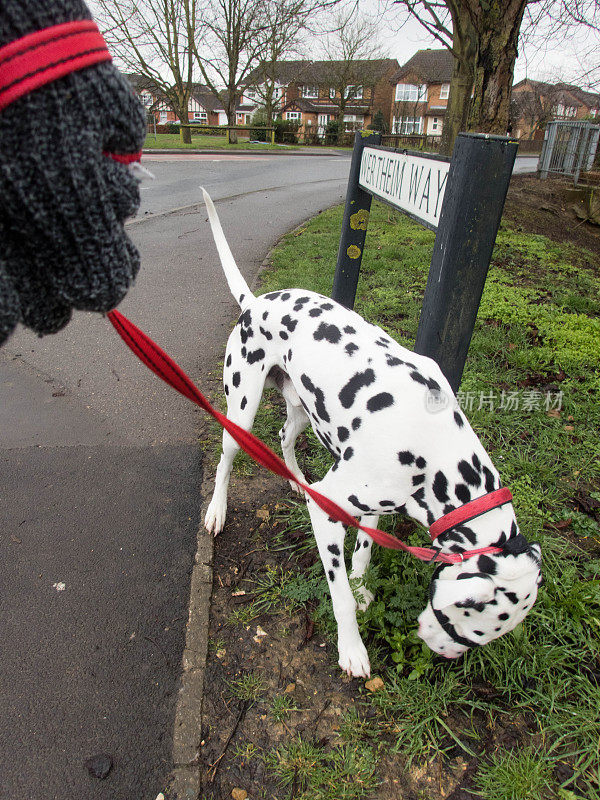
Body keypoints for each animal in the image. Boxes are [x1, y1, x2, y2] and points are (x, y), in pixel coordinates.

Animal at [203, 191, 544, 680]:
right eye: (471, 628)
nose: (446, 657)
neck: (436, 450)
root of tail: (255, 302)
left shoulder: (376, 500)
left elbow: (364, 548)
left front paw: (363, 585)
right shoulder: (328, 512)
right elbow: (339, 594)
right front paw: (351, 646)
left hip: (305, 411)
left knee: (286, 435)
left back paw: (297, 480)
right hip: (242, 412)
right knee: (225, 460)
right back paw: (217, 510)